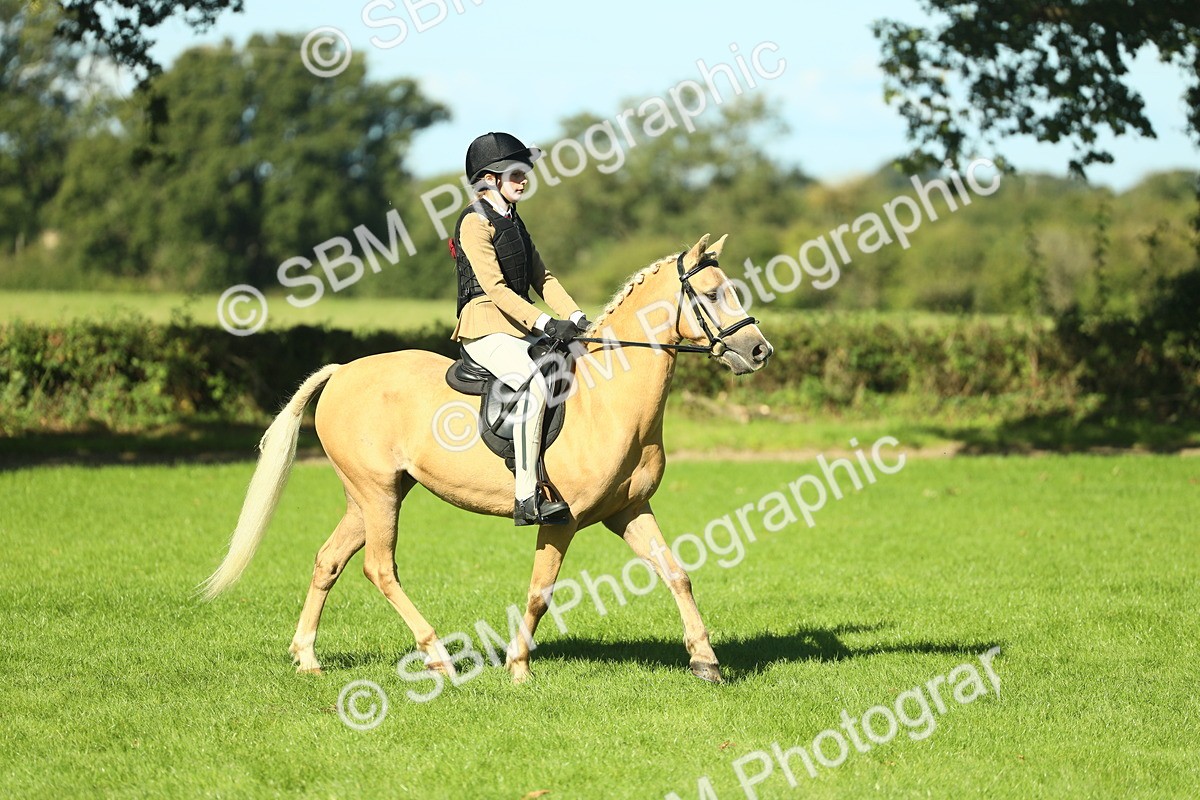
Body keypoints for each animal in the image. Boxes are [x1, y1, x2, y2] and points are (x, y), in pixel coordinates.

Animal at [200, 233, 773, 685]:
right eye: (711, 293)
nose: (759, 351)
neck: (609, 399)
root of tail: (342, 372)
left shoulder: (627, 511)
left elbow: (677, 574)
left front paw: (705, 661)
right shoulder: (561, 520)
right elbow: (541, 592)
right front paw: (519, 667)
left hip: (372, 495)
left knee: (329, 560)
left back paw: (308, 658)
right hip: (378, 493)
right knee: (379, 568)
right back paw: (439, 657)